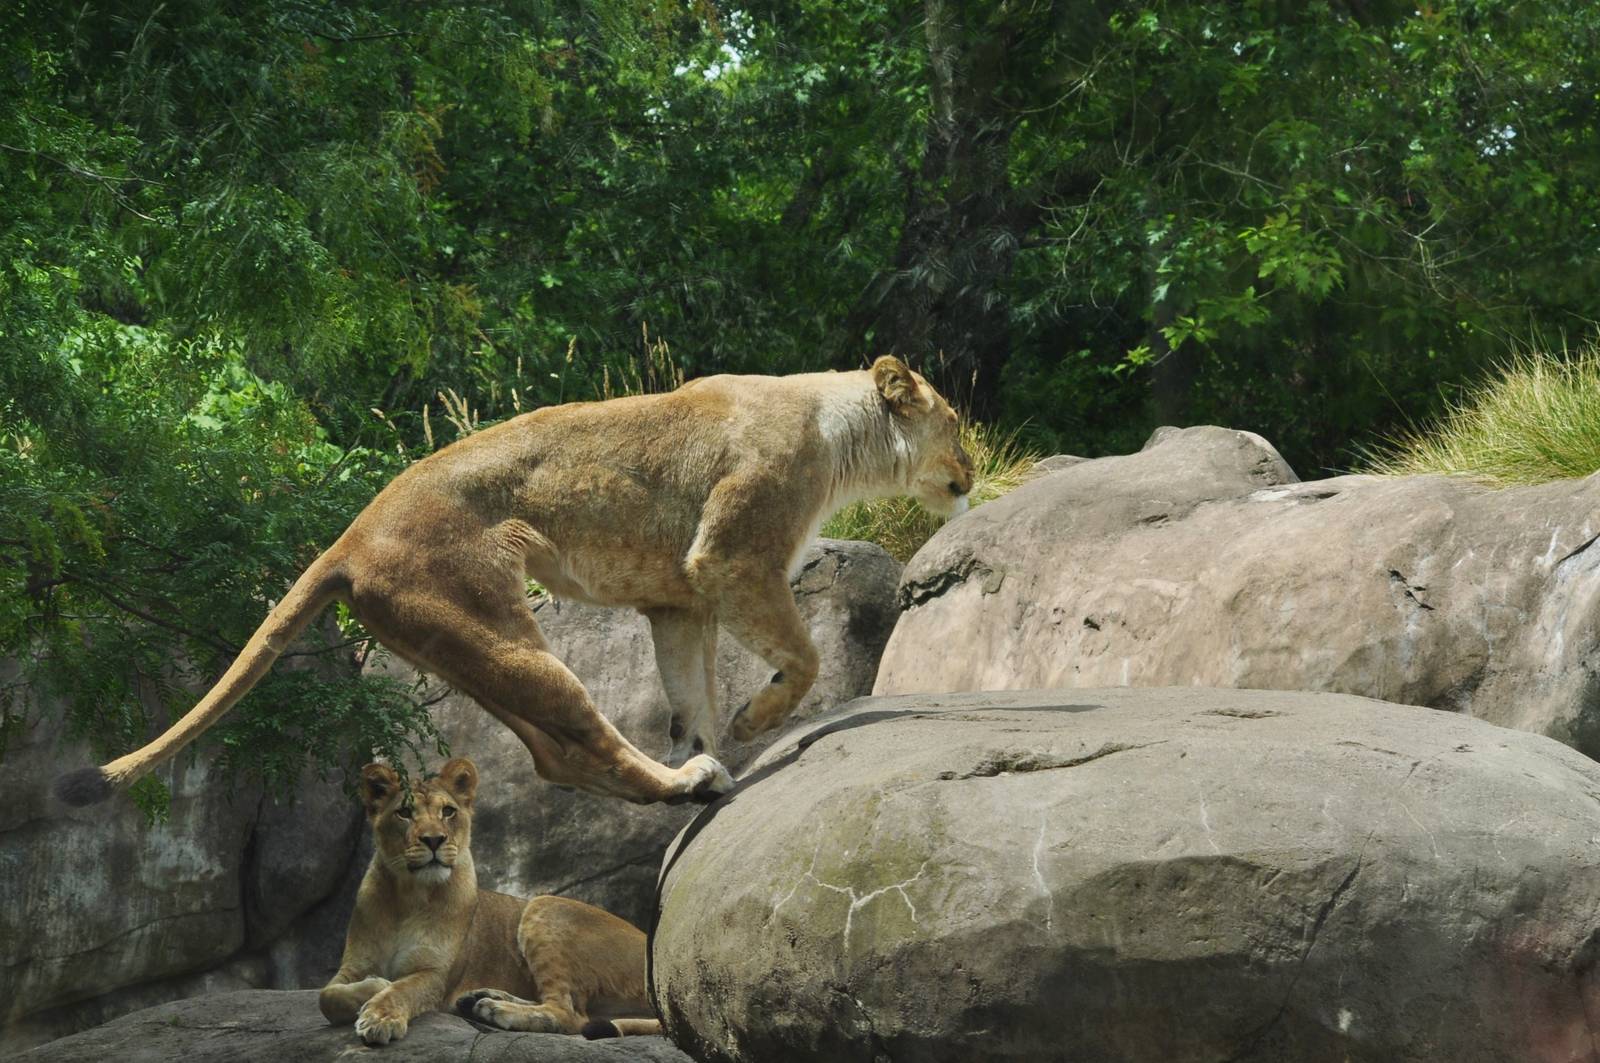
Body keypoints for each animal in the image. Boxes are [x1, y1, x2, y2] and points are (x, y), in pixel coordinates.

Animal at [56, 357, 972, 808]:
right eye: (957, 421)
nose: (973, 469)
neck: (839, 433)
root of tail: (346, 537)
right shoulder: (730, 556)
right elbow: (803, 656)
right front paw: (756, 721)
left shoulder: (677, 599)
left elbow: (691, 694)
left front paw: (713, 739)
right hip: (500, 628)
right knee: (577, 737)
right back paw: (682, 783)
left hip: (467, 648)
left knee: (553, 755)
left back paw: (688, 785)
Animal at [319, 757, 661, 1045]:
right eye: (404, 812)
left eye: (448, 811)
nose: (434, 840)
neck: (408, 896)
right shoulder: (353, 964)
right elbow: (327, 996)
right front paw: (374, 986)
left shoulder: (434, 973)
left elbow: (401, 989)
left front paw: (380, 1014)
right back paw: (480, 999)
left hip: (544, 905)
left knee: (570, 1014)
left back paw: (496, 1010)